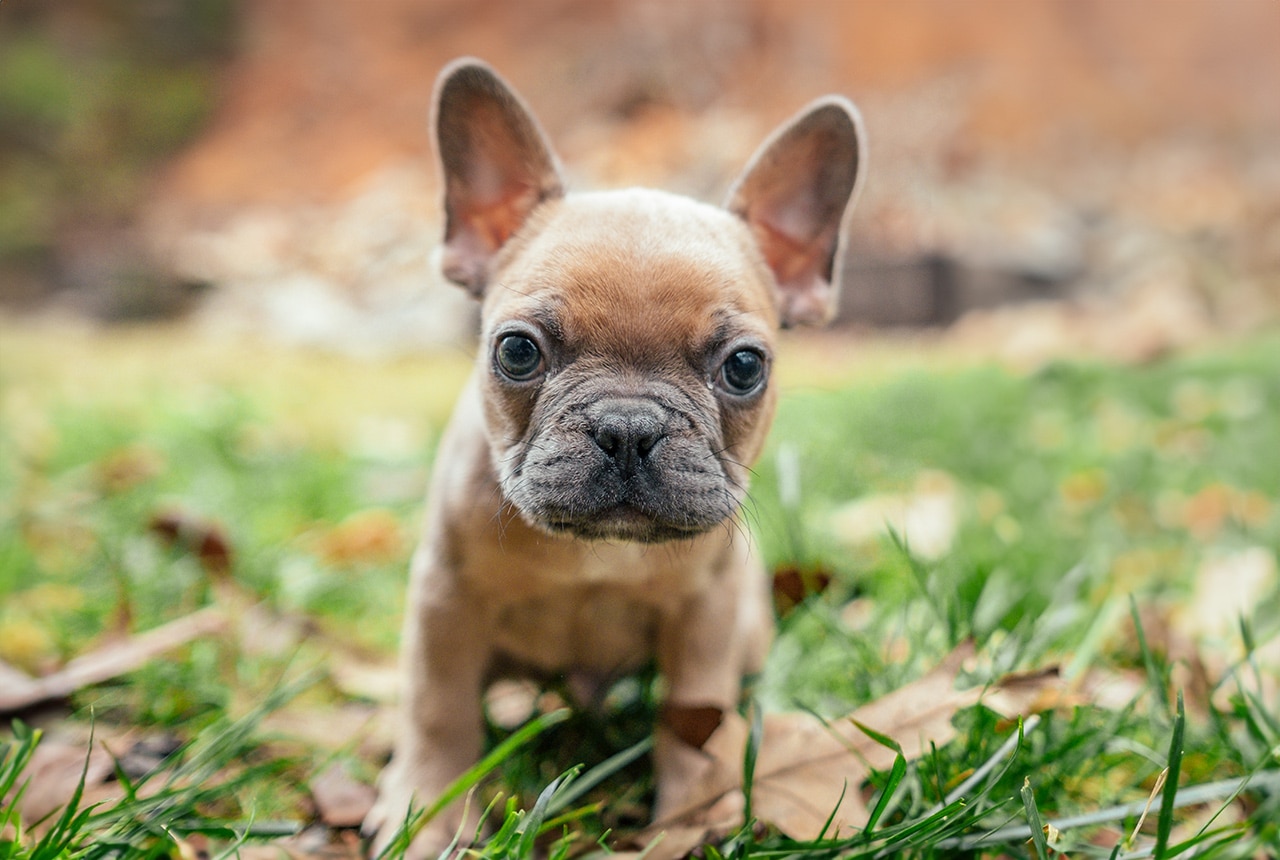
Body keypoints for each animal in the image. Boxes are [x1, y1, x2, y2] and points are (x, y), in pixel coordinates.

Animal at [366, 56, 865, 854]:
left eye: (744, 367)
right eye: (517, 351)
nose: (628, 426)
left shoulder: (705, 617)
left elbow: (693, 725)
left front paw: (693, 817)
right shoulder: (446, 602)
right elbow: (439, 709)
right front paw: (430, 812)